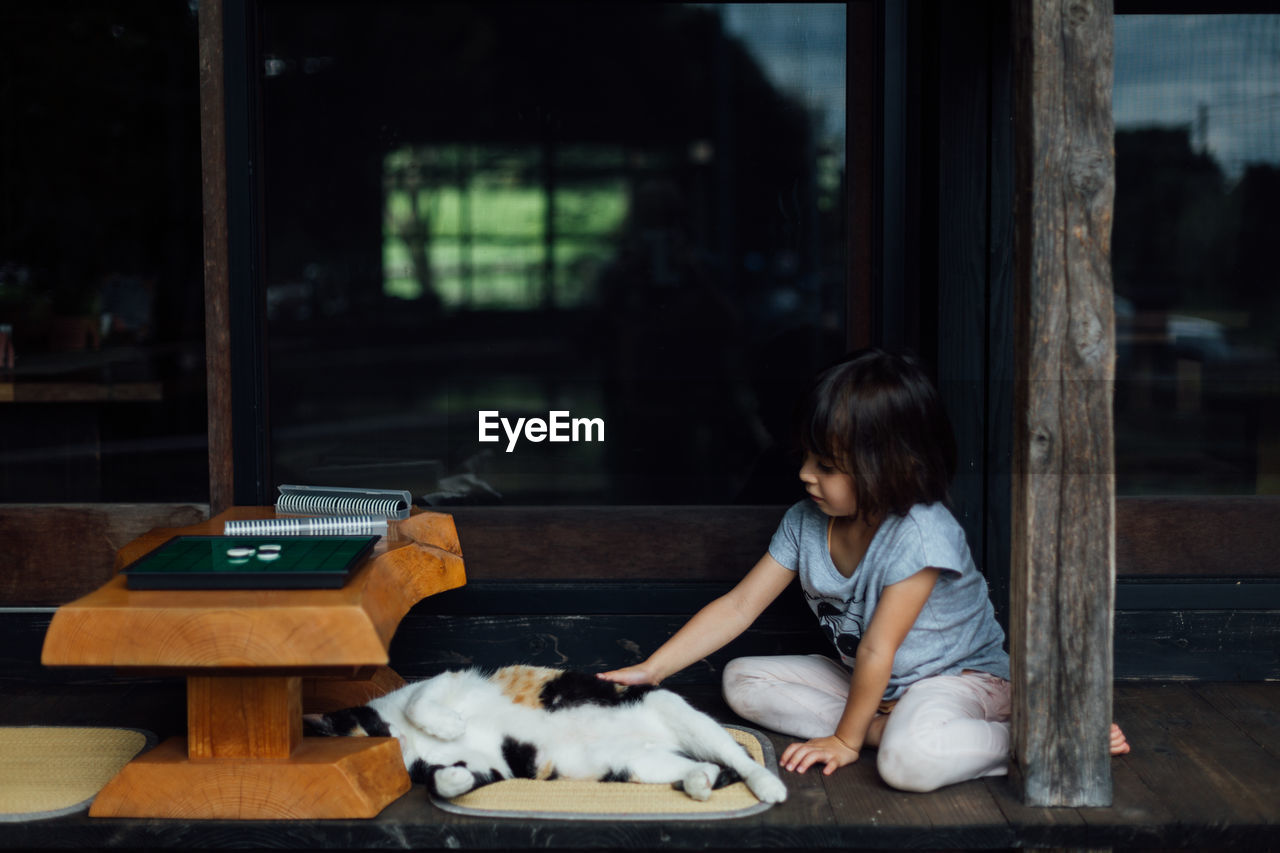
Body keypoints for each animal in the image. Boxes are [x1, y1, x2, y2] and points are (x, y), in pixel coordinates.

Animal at [307, 660, 788, 799]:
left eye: (373, 735)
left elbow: (418, 701)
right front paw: (453, 779)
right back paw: (698, 782)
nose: (403, 746)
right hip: (637, 764)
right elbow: (451, 778)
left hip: (674, 710)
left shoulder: (446, 679)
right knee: (702, 766)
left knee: (738, 756)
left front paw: (447, 724)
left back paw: (768, 787)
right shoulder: (492, 764)